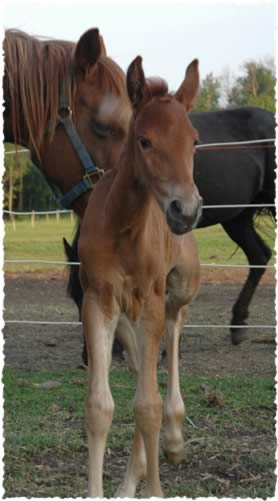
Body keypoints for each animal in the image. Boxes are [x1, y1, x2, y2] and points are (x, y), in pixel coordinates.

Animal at [78, 55, 202, 496]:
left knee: (175, 331)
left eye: (193, 140)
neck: (123, 227)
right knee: (139, 373)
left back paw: (174, 437)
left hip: (179, 288)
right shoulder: (98, 300)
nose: (186, 210)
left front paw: (156, 489)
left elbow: (148, 406)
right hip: (127, 318)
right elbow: (101, 406)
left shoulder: (151, 300)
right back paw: (134, 476)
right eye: (145, 141)